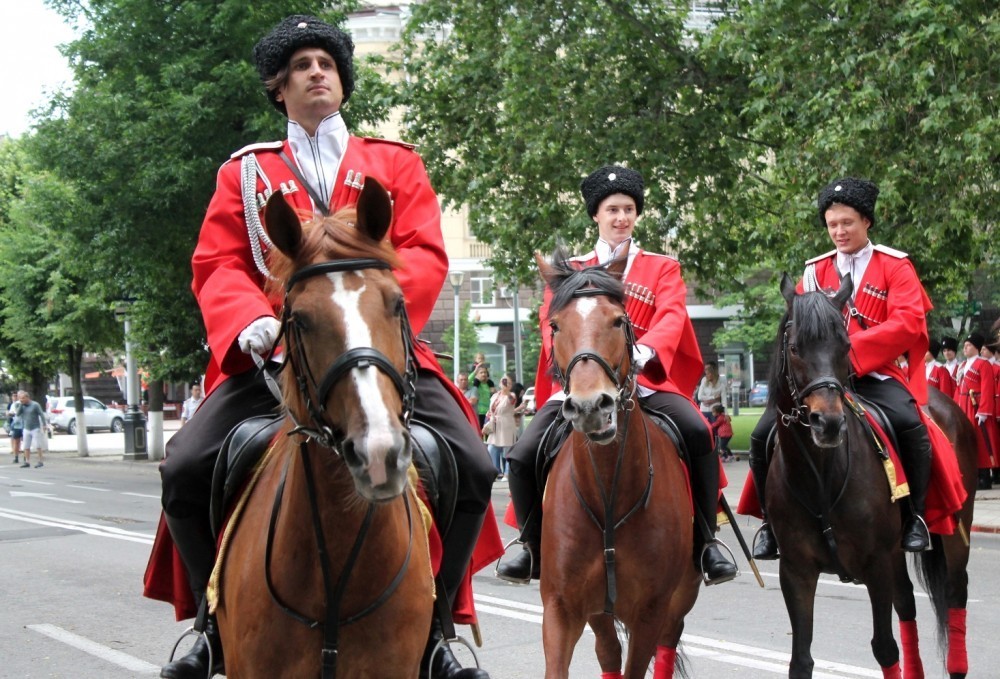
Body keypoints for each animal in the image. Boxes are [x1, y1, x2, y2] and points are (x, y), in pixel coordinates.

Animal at [536, 254, 700, 679]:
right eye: (555, 325)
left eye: (617, 320)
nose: (591, 406)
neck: (609, 489)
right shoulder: (561, 608)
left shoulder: (649, 611)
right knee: (608, 650)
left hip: (680, 597)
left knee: (666, 644)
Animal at [764, 274, 976, 679]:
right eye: (795, 347)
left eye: (846, 345)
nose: (828, 423)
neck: (822, 476)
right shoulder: (795, 571)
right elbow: (801, 659)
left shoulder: (876, 564)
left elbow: (885, 647)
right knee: (907, 602)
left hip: (954, 530)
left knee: (956, 594)